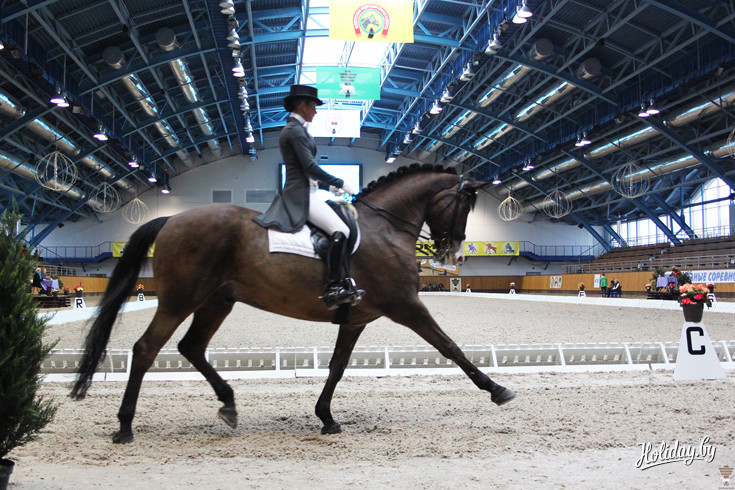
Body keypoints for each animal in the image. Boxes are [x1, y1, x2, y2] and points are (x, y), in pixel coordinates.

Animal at [70, 165, 516, 444]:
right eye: (463, 205)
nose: (454, 255)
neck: (385, 228)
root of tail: (172, 219)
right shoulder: (405, 305)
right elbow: (450, 346)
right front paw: (497, 389)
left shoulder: (356, 319)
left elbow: (337, 366)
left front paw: (327, 418)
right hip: (180, 299)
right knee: (147, 349)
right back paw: (125, 427)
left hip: (216, 302)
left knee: (190, 347)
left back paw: (229, 404)